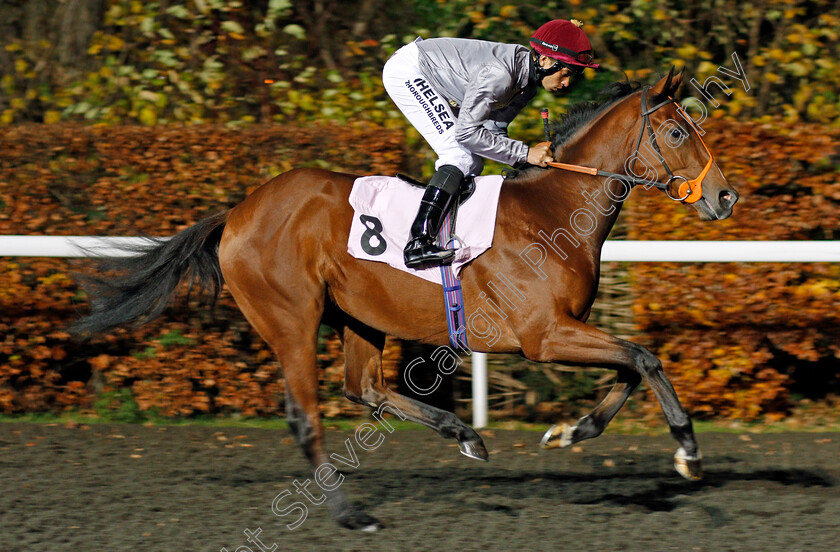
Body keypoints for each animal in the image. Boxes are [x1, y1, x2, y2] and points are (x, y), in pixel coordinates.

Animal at [74, 70, 740, 532]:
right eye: (678, 131)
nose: (725, 197)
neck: (552, 210)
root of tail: (238, 212)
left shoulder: (566, 328)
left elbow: (631, 365)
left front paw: (571, 432)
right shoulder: (544, 335)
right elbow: (644, 357)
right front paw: (688, 451)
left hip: (359, 317)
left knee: (363, 388)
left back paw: (462, 433)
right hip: (293, 319)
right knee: (307, 415)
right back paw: (350, 514)